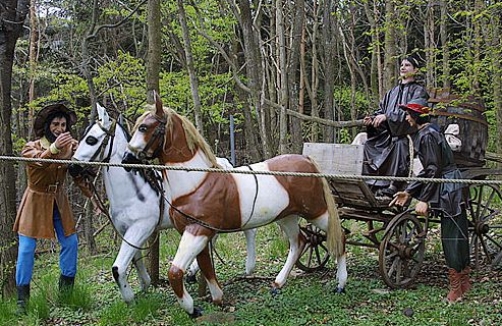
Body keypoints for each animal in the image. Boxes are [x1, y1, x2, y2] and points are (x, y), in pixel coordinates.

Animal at [68, 104, 256, 304]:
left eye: (91, 139)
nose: (72, 168)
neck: (133, 193)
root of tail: (224, 164)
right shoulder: (125, 230)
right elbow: (135, 260)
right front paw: (145, 284)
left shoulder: (142, 227)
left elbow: (118, 268)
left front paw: (130, 298)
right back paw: (192, 271)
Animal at [123, 95, 348, 318]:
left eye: (144, 127)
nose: (126, 159)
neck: (197, 182)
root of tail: (307, 160)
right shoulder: (196, 231)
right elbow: (205, 266)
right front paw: (218, 299)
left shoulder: (199, 229)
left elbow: (176, 272)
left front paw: (192, 308)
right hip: (287, 217)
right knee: (299, 242)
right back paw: (277, 285)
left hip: (316, 212)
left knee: (339, 236)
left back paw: (340, 284)